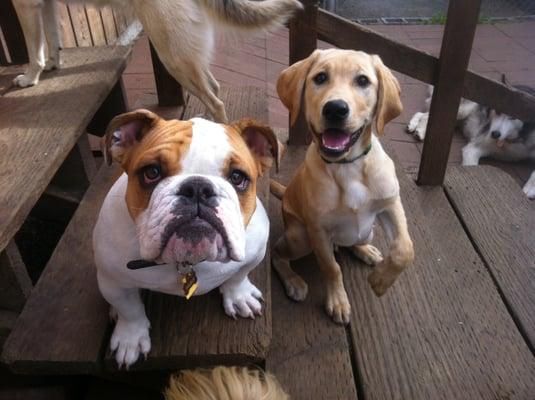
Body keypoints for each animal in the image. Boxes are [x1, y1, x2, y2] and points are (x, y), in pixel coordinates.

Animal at [272, 49, 414, 324]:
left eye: (363, 81)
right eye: (320, 78)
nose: (335, 109)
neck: (348, 166)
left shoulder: (391, 203)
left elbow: (404, 249)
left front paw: (380, 282)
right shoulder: (318, 230)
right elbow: (332, 268)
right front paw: (338, 301)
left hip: (367, 230)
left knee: (356, 240)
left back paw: (366, 250)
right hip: (299, 237)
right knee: (276, 254)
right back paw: (293, 281)